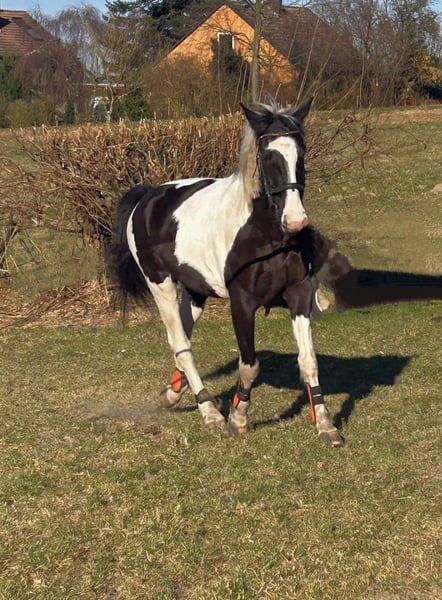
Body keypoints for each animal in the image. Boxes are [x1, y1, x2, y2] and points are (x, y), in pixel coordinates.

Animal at [107, 98, 345, 447]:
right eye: (268, 156)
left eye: (301, 152)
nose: (296, 220)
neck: (263, 234)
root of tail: (148, 196)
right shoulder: (242, 303)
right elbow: (250, 366)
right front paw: (238, 418)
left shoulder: (299, 296)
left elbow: (309, 362)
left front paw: (326, 425)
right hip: (160, 285)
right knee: (181, 345)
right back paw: (209, 410)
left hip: (195, 292)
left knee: (182, 339)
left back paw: (174, 393)